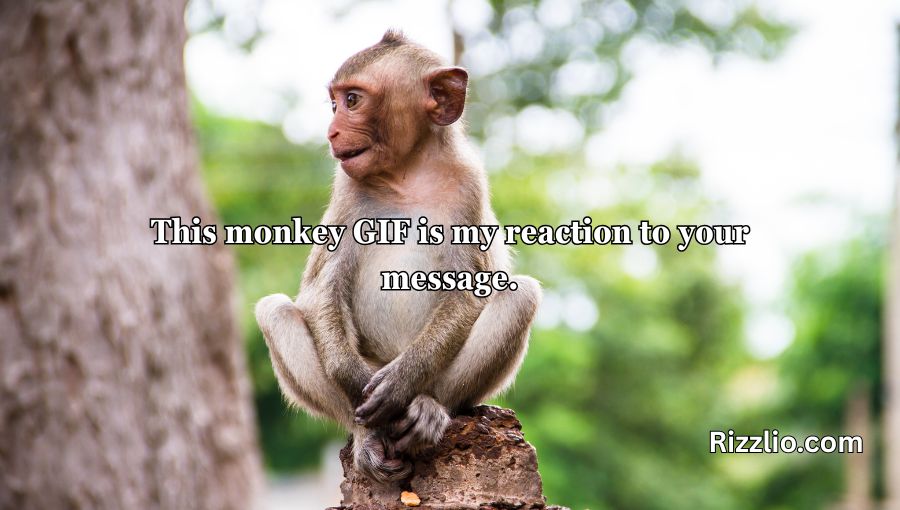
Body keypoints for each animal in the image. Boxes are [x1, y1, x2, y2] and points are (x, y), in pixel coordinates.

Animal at [255, 30, 541, 483]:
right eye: (335, 103)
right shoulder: (348, 190)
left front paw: (403, 383)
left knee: (520, 294)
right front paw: (352, 377)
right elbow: (322, 288)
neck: (407, 176)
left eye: (353, 100)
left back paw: (427, 409)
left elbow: (468, 291)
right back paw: (366, 433)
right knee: (275, 310)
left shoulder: (468, 186)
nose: (332, 131)